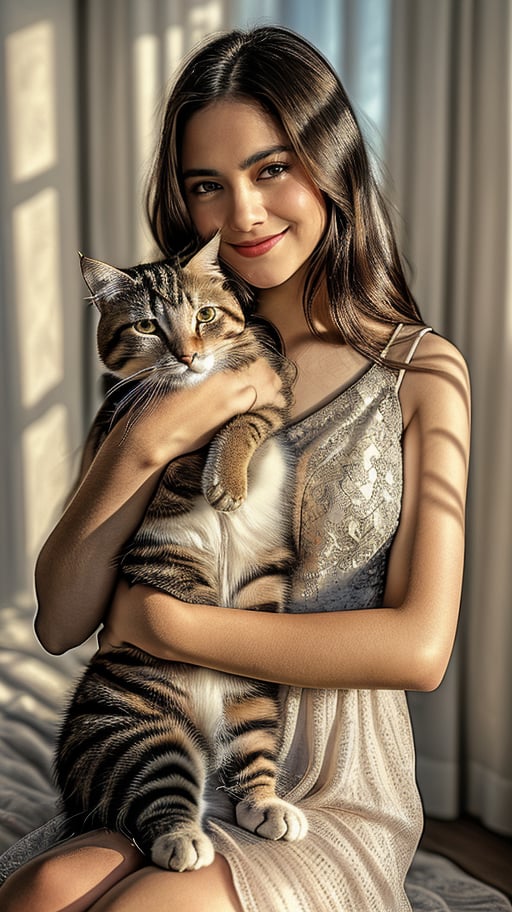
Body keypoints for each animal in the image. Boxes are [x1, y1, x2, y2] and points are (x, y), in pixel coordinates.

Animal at [55, 237, 308, 876]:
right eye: (147, 325)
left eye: (206, 315)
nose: (190, 357)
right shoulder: (124, 431)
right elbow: (172, 456)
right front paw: (205, 469)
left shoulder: (270, 398)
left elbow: (245, 421)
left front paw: (227, 474)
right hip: (135, 727)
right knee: (160, 791)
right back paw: (182, 839)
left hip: (254, 699)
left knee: (249, 761)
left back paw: (267, 804)